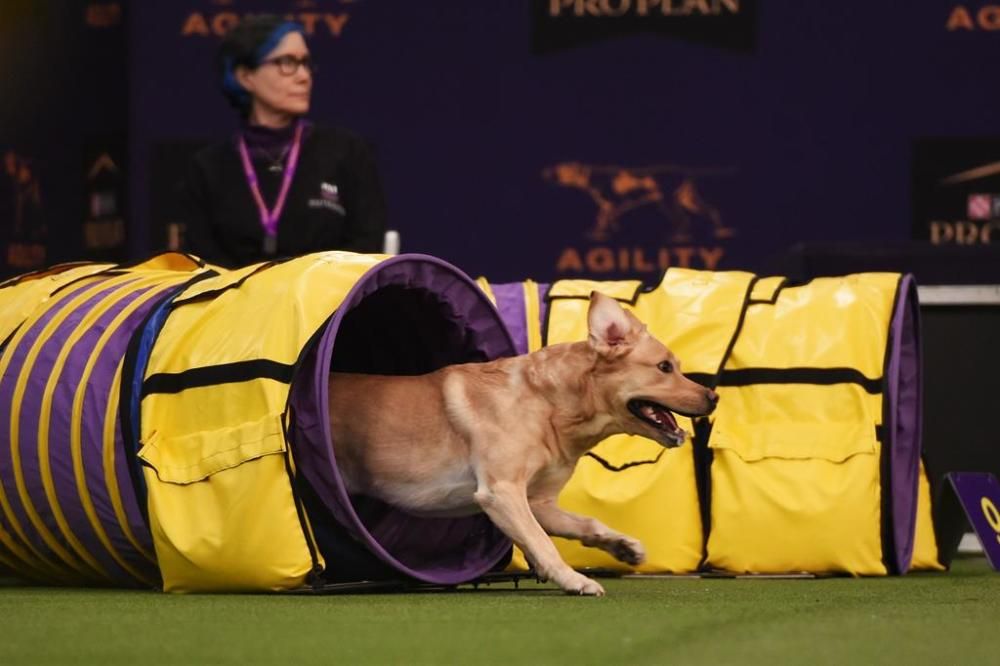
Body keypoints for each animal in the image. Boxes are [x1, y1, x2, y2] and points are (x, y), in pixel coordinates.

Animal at [328, 290, 720, 592]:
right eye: (664, 367)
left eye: (677, 366)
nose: (714, 397)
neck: (549, 406)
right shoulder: (501, 492)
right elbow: (543, 542)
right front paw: (575, 580)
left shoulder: (539, 501)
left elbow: (586, 524)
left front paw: (623, 546)